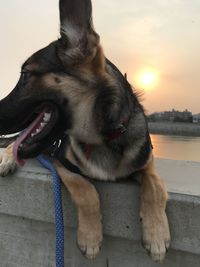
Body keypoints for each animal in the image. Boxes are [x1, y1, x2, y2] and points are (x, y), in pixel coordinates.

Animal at [0, 0, 170, 264]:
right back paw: (6, 160)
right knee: (12, 144)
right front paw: (90, 238)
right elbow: (86, 191)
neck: (104, 138)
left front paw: (156, 235)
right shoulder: (61, 162)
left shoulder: (147, 163)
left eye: (25, 75)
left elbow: (154, 187)